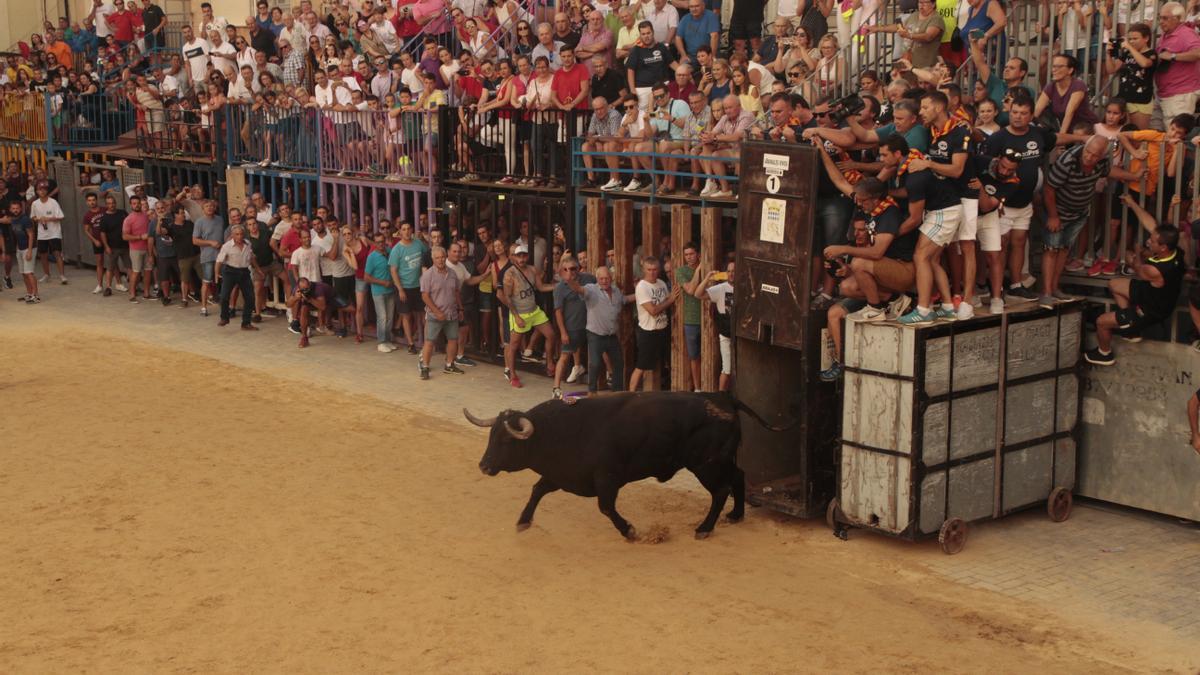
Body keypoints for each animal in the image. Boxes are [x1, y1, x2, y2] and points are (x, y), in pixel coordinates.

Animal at [460, 391, 787, 538]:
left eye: (506, 441)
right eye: (491, 436)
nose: (483, 466)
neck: (559, 431)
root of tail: (723, 396)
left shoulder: (607, 479)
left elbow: (606, 507)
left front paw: (629, 530)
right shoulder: (562, 475)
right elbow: (537, 490)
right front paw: (523, 521)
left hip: (706, 464)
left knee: (720, 491)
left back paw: (705, 528)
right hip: (721, 461)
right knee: (739, 477)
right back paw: (736, 515)